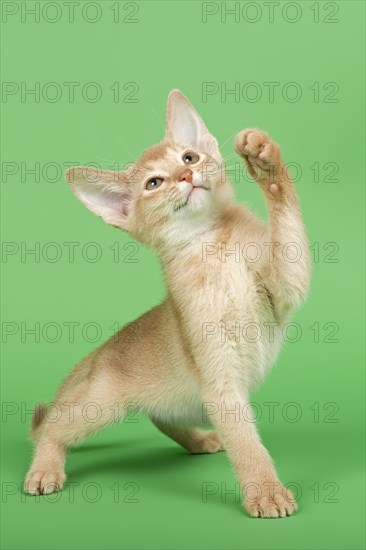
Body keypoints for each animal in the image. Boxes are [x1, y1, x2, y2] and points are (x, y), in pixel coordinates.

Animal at [25, 89, 312, 516]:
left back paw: (200, 439)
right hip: (100, 404)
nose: (186, 176)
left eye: (189, 157)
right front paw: (265, 491)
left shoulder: (285, 285)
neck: (212, 245)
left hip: (179, 397)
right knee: (53, 429)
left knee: (160, 416)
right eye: (154, 183)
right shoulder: (218, 371)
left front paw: (264, 160)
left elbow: (288, 231)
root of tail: (98, 355)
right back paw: (44, 469)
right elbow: (245, 443)